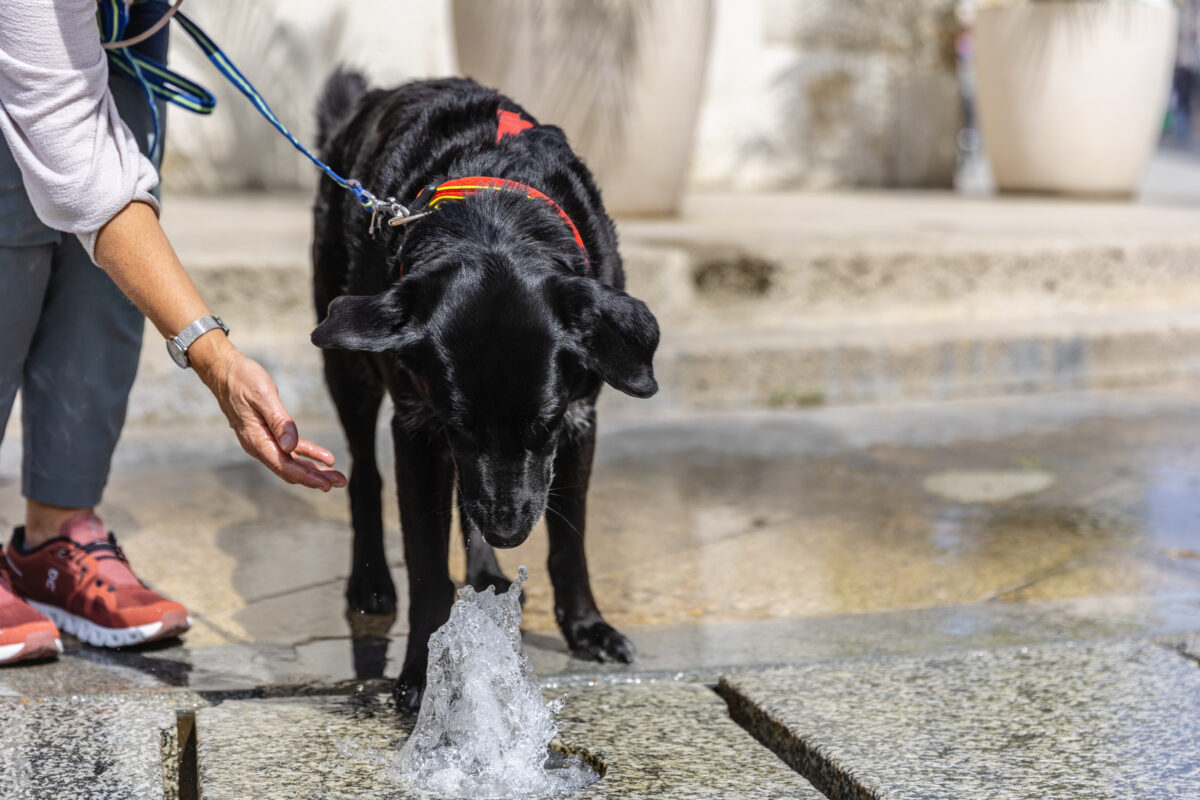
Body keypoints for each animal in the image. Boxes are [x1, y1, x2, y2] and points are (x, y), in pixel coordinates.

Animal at [307, 71, 657, 710]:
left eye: (543, 426)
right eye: (459, 426)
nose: (508, 531)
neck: (496, 222)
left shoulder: (578, 419)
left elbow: (570, 542)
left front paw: (587, 627)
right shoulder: (421, 427)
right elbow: (426, 563)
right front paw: (422, 672)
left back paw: (486, 566)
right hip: (347, 365)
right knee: (365, 476)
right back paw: (371, 580)